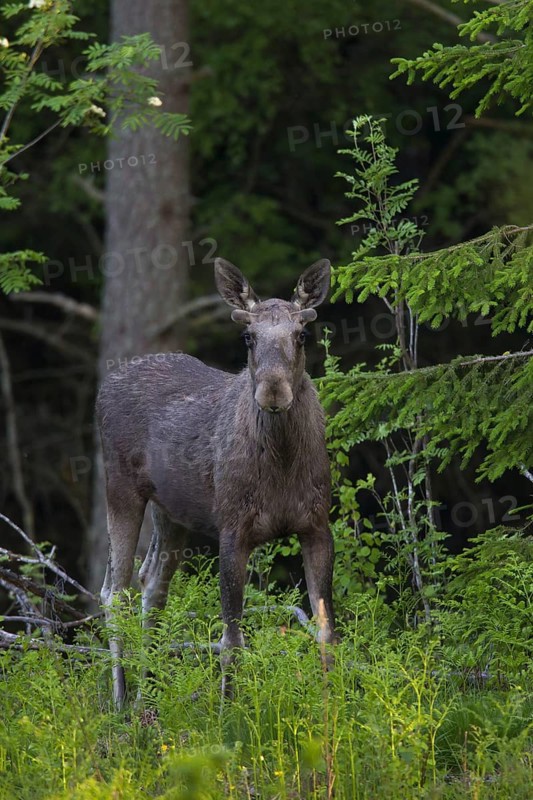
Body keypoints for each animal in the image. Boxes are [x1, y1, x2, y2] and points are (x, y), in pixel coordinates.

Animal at [97, 257, 336, 708]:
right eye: (247, 336)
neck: (282, 466)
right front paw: (230, 711)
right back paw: (120, 701)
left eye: (302, 334)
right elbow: (231, 642)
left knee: (152, 585)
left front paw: (335, 706)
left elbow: (326, 632)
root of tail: (105, 383)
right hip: (120, 489)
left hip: (171, 512)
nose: (273, 391)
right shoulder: (232, 529)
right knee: (114, 592)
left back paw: (147, 697)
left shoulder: (317, 526)